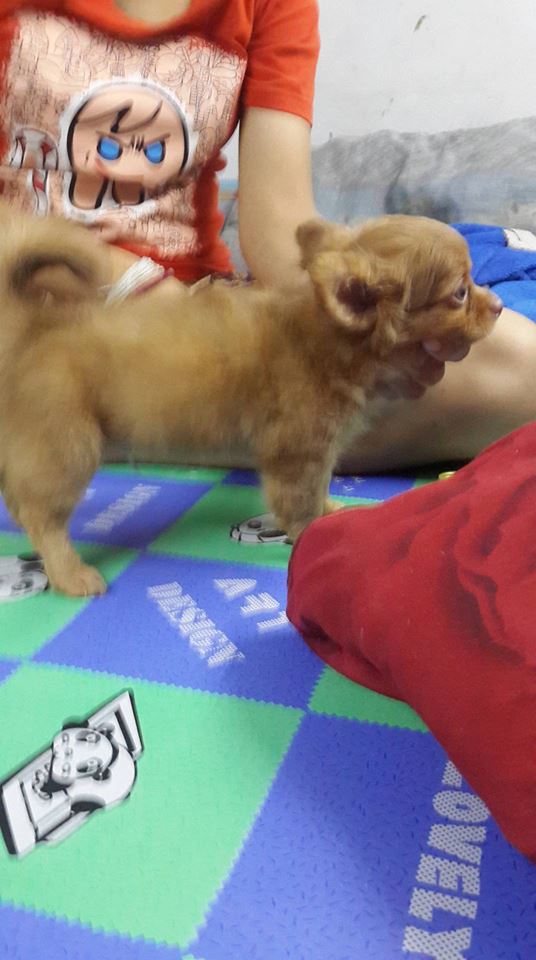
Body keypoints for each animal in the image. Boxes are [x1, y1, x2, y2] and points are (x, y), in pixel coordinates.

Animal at [0, 208, 502, 596]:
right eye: (460, 293)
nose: (497, 306)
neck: (325, 336)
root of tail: (31, 328)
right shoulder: (296, 454)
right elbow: (299, 505)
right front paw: (314, 536)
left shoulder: (318, 453)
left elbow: (319, 489)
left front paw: (330, 511)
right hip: (70, 447)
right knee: (43, 518)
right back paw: (71, 575)